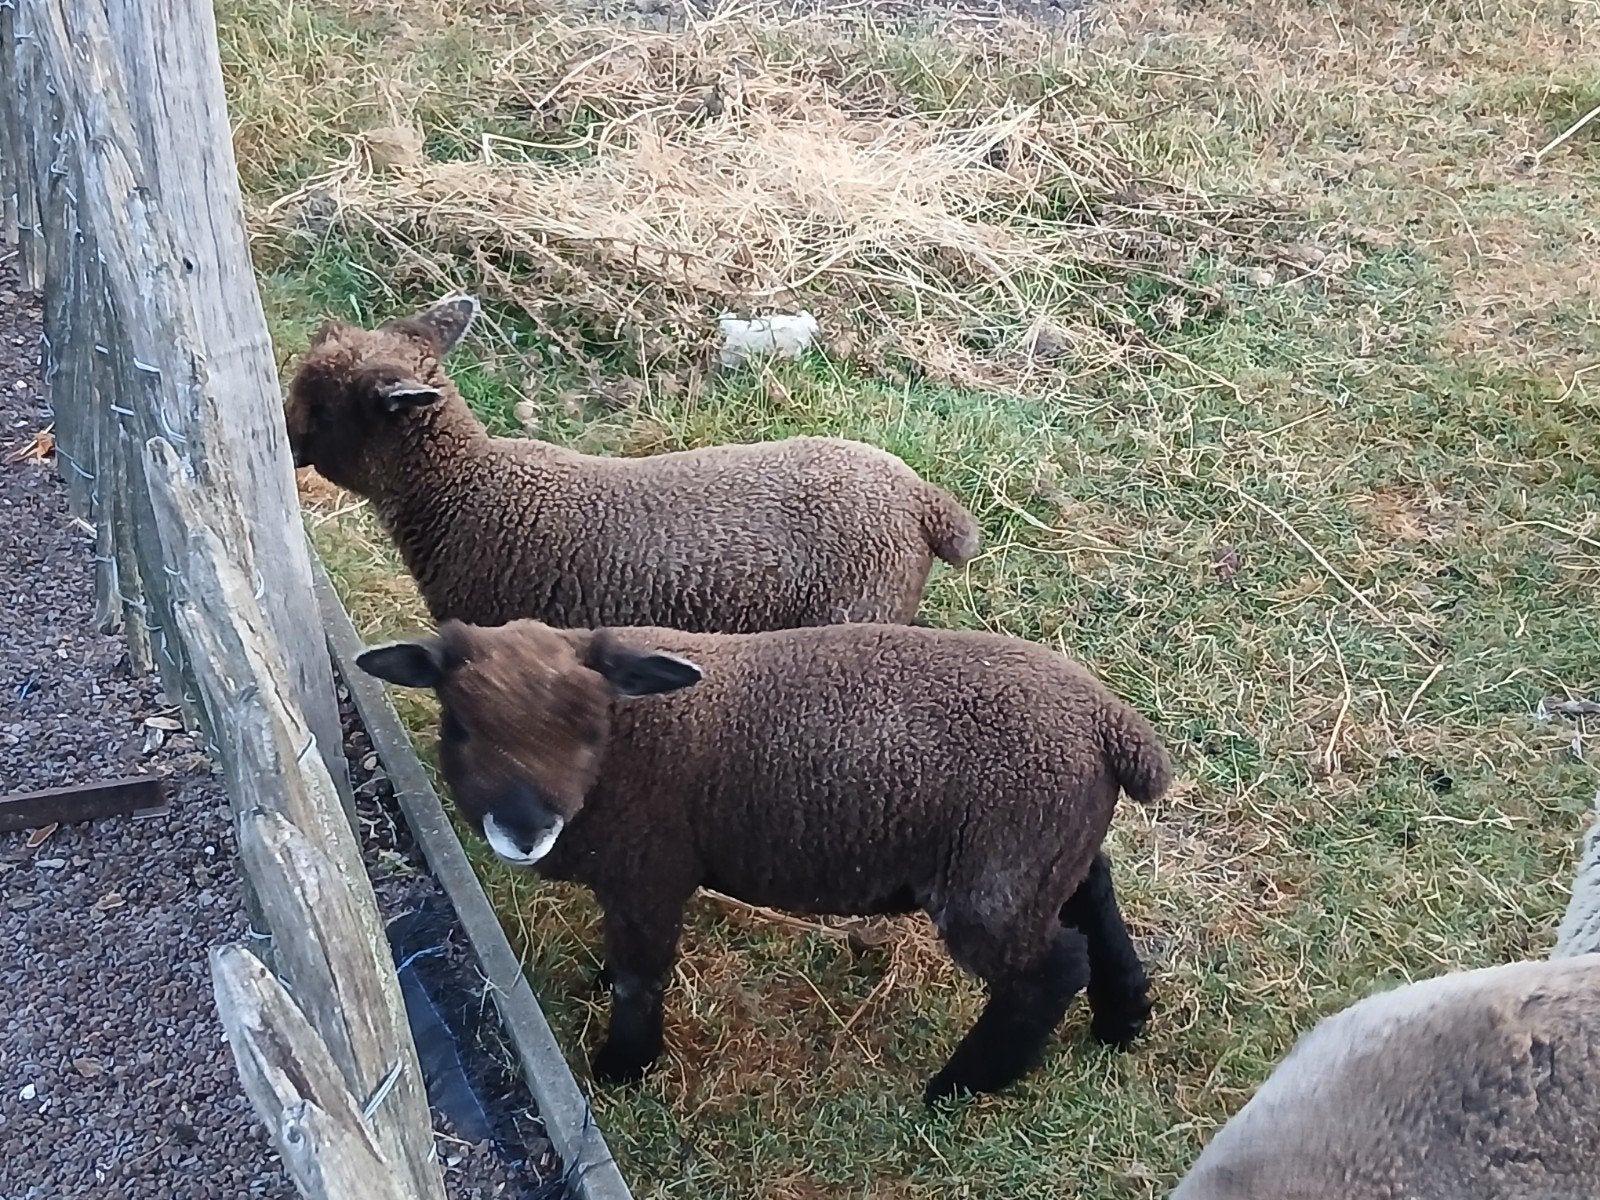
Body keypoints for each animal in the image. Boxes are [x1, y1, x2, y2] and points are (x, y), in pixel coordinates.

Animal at [355, 616, 1172, 1103]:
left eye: (590, 727)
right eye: (460, 725)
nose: (523, 832)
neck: (626, 751)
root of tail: (1108, 725)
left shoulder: (650, 872)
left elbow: (640, 976)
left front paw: (625, 1067)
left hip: (995, 876)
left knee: (1049, 969)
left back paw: (961, 1086)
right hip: (1043, 850)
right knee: (1096, 896)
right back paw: (1123, 1017)